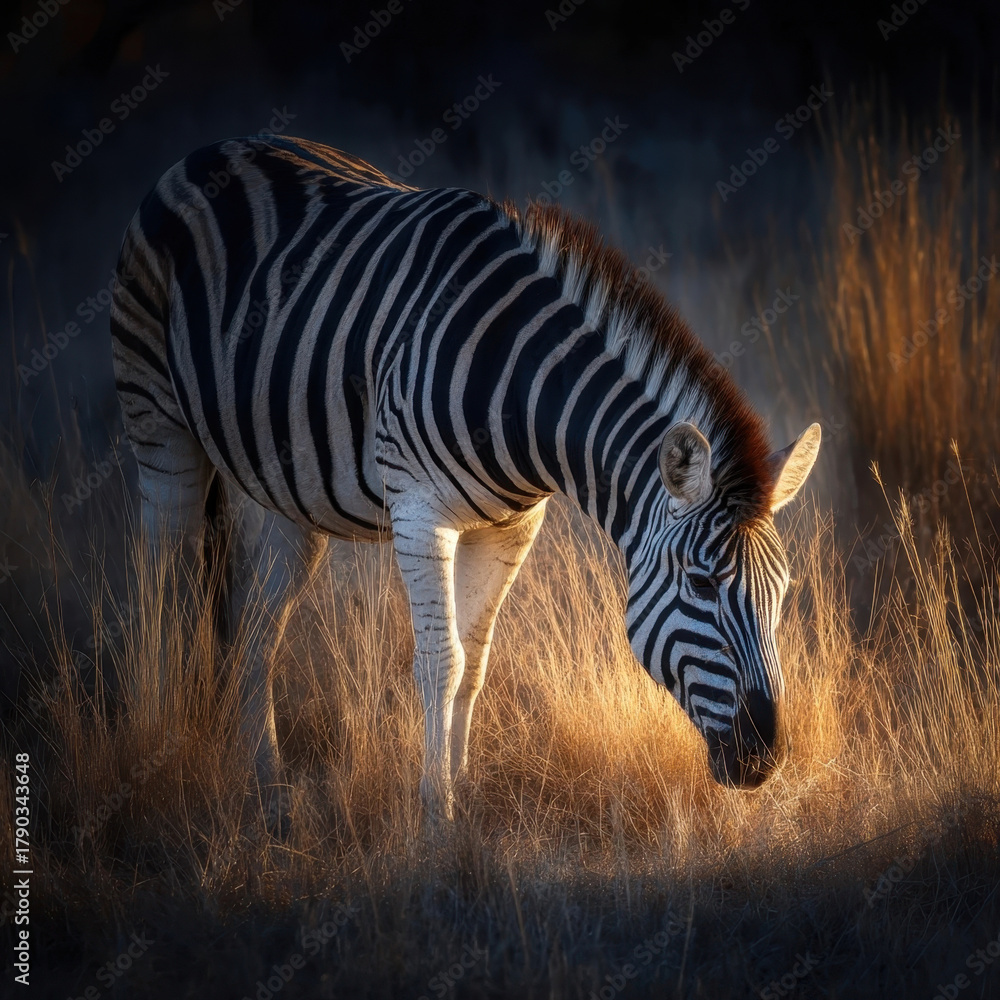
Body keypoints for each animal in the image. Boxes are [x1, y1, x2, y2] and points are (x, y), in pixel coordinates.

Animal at [110, 134, 821, 825]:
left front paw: (462, 806)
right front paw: (436, 817)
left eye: (784, 593)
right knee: (163, 590)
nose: (765, 761)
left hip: (288, 489)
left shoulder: (511, 527)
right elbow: (441, 663)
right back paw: (156, 765)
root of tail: (213, 150)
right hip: (158, 423)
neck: (522, 394)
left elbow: (475, 663)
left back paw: (267, 792)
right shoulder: (419, 512)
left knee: (253, 625)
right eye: (701, 584)